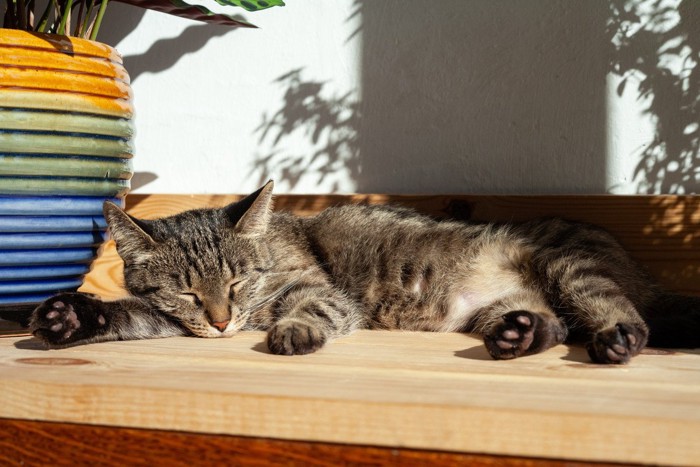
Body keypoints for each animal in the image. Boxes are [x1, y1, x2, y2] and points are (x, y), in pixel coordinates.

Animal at [28, 181, 700, 364]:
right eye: (189, 293)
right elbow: (132, 315)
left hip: (573, 267)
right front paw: (71, 316)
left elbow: (315, 307)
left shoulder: (312, 287)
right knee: (555, 326)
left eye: (238, 283)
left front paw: (295, 332)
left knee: (622, 314)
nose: (221, 324)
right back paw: (521, 334)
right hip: (506, 308)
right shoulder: (169, 317)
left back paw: (618, 337)